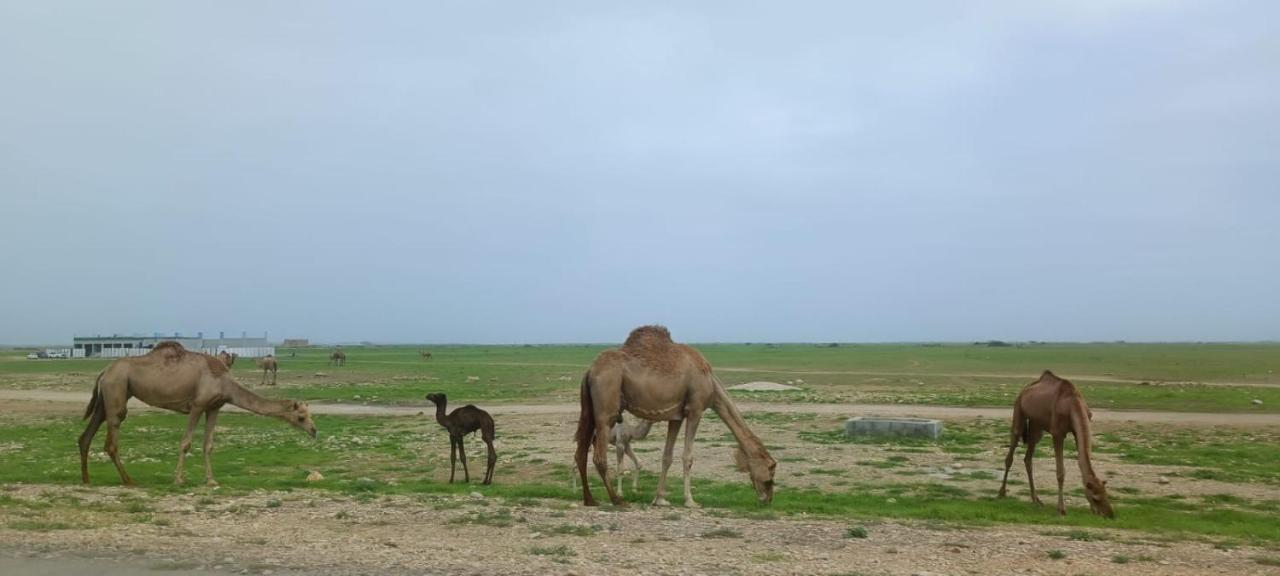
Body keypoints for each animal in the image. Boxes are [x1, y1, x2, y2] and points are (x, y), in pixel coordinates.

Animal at [78, 343, 316, 486]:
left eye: (309, 415)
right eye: (301, 417)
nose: (314, 431)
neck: (224, 382)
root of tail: (104, 371)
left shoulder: (214, 408)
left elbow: (208, 445)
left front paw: (211, 480)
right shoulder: (198, 405)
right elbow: (186, 443)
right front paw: (178, 479)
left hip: (109, 395)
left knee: (86, 436)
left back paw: (86, 479)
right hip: (117, 389)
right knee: (112, 439)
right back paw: (129, 480)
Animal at [576, 326, 773, 506]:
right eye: (771, 467)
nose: (768, 498)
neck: (710, 381)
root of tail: (589, 371)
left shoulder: (676, 416)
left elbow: (667, 457)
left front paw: (660, 499)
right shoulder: (695, 409)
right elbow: (688, 457)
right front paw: (690, 501)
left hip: (590, 409)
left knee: (581, 451)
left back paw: (590, 499)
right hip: (606, 405)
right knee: (599, 455)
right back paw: (617, 500)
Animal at [993, 371, 1116, 519]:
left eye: (1106, 495)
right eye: (1095, 498)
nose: (1110, 514)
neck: (1072, 404)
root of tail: (1024, 391)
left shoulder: (1076, 431)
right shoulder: (1058, 433)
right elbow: (1060, 472)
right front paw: (1061, 509)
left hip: (1036, 426)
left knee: (1028, 458)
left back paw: (1036, 499)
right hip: (1019, 410)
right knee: (1011, 453)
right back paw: (1001, 493)